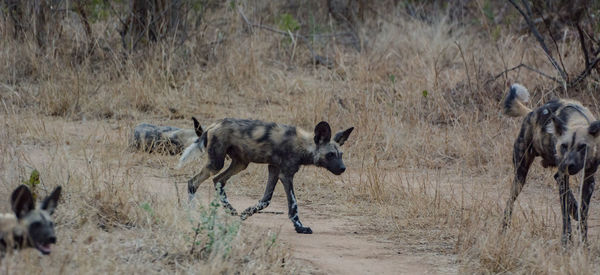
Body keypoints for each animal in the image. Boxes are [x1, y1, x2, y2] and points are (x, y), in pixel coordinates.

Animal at [179, 118, 356, 235]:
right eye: (330, 155)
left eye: (341, 155)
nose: (343, 168)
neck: (303, 145)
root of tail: (214, 124)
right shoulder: (286, 175)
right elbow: (293, 204)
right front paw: (300, 227)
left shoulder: (274, 170)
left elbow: (265, 200)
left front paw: (246, 213)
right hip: (216, 164)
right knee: (193, 182)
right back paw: (191, 212)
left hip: (240, 163)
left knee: (218, 180)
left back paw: (231, 210)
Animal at [502, 83, 600, 245]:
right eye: (564, 146)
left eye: (582, 147)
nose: (568, 165)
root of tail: (531, 112)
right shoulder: (563, 176)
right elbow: (565, 215)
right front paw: (566, 242)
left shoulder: (588, 179)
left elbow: (583, 215)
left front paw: (584, 243)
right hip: (520, 176)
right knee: (510, 201)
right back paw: (503, 228)